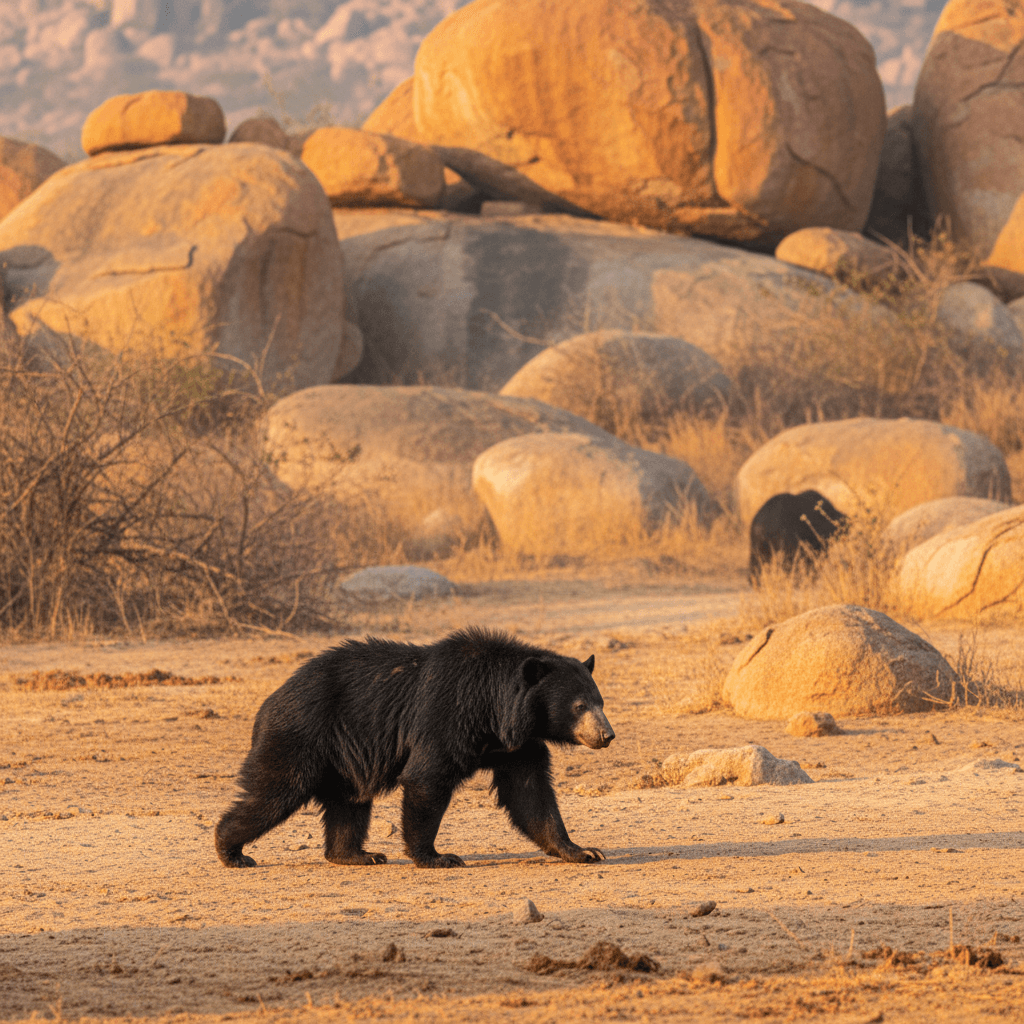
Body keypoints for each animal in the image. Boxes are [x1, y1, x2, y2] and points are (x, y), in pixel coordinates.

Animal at [215, 627, 615, 869]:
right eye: (579, 706)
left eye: (600, 701)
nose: (607, 735)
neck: (493, 708)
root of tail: (269, 703)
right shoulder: (446, 716)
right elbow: (428, 777)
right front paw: (438, 857)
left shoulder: (516, 746)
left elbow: (530, 794)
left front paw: (584, 850)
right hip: (301, 736)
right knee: (273, 792)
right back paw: (231, 851)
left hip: (344, 758)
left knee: (349, 803)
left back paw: (359, 855)